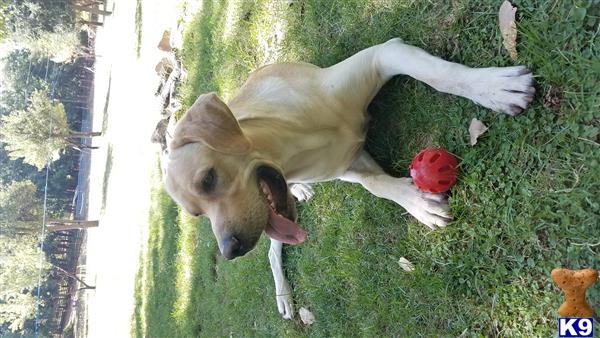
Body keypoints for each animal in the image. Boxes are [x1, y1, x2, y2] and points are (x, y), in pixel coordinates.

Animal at [164, 37, 536, 320]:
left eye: (208, 178)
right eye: (196, 214)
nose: (231, 250)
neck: (292, 142)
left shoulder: (384, 54)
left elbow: (440, 75)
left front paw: (492, 87)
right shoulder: (346, 165)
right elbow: (377, 185)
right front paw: (419, 205)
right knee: (272, 251)